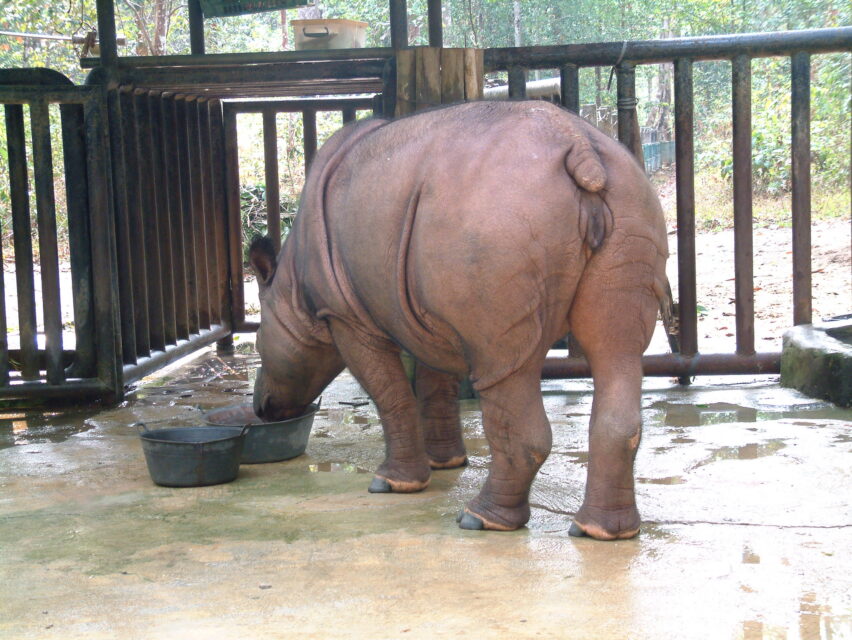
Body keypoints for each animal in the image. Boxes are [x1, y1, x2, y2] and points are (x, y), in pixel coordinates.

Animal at [249, 100, 671, 540]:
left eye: (260, 346)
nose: (261, 407)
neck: (289, 287)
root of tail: (580, 145)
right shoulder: (428, 312)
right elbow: (436, 383)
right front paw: (445, 464)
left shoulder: (344, 315)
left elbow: (390, 394)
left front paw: (393, 484)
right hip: (630, 200)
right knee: (616, 351)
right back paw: (603, 532)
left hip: (497, 219)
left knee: (504, 366)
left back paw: (479, 520)